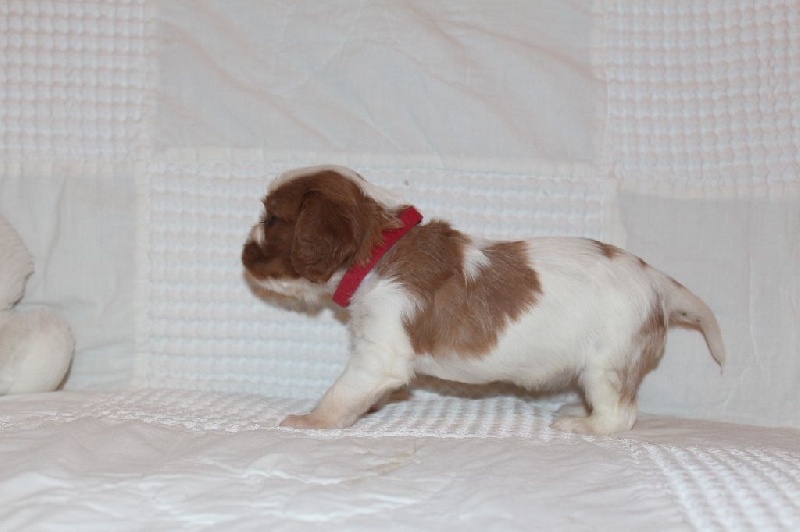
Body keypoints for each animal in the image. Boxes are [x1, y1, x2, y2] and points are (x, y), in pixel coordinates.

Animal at [242, 165, 725, 435]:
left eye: (272, 219)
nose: (242, 250)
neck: (381, 250)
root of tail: (656, 279)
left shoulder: (380, 351)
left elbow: (340, 393)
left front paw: (312, 421)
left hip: (607, 364)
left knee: (620, 414)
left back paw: (583, 425)